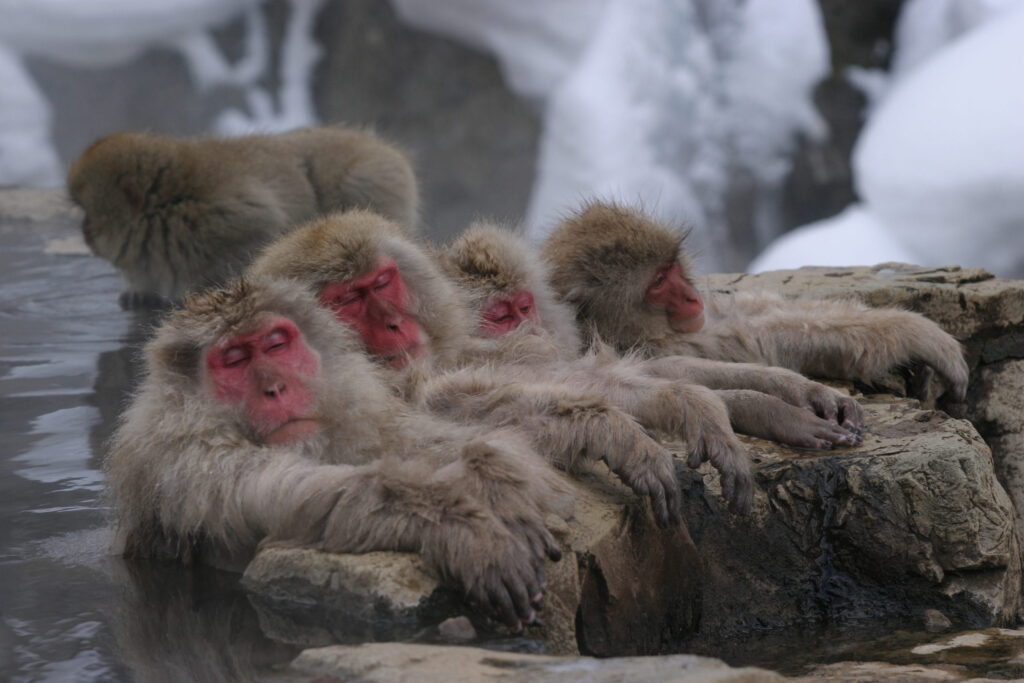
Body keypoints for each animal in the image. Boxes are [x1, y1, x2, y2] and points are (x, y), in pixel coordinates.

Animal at [67, 125, 419, 308]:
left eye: (89, 214)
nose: (84, 233)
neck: (169, 207)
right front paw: (141, 292)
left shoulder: (228, 216)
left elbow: (263, 230)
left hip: (372, 177)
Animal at [105, 275, 570, 630]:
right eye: (234, 360)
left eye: (275, 345)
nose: (276, 388)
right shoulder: (187, 461)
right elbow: (291, 496)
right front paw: (463, 527)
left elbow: (423, 439)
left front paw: (495, 480)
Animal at [440, 221, 867, 451]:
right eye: (500, 318)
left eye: (524, 307)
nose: (533, 328)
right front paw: (774, 413)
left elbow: (661, 370)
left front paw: (796, 390)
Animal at [542, 201, 970, 402]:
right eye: (658, 283)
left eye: (671, 267)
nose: (690, 296)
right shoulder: (657, 345)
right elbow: (756, 339)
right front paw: (914, 332)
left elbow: (752, 316)